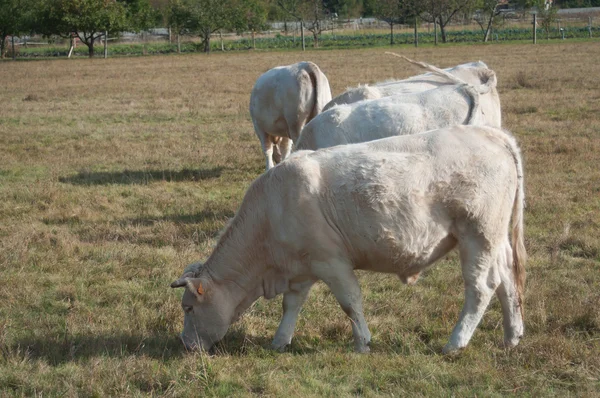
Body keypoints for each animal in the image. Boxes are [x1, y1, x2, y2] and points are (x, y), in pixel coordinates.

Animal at [171, 125, 528, 354]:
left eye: (188, 308)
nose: (185, 345)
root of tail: (493, 134)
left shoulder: (332, 262)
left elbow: (350, 303)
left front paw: (362, 343)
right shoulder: (301, 268)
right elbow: (291, 305)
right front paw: (280, 341)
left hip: (477, 235)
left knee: (481, 288)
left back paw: (455, 344)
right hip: (494, 240)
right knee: (507, 282)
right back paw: (512, 337)